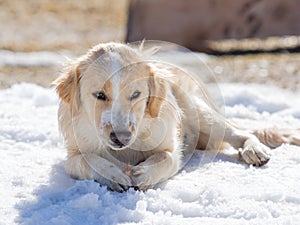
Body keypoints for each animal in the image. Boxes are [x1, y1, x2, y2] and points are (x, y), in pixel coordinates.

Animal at [54, 42, 300, 192]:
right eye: (100, 95)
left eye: (135, 95)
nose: (120, 137)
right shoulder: (73, 152)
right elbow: (84, 160)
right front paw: (113, 174)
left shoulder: (172, 149)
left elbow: (165, 157)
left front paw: (143, 174)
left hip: (201, 113)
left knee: (240, 133)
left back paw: (254, 151)